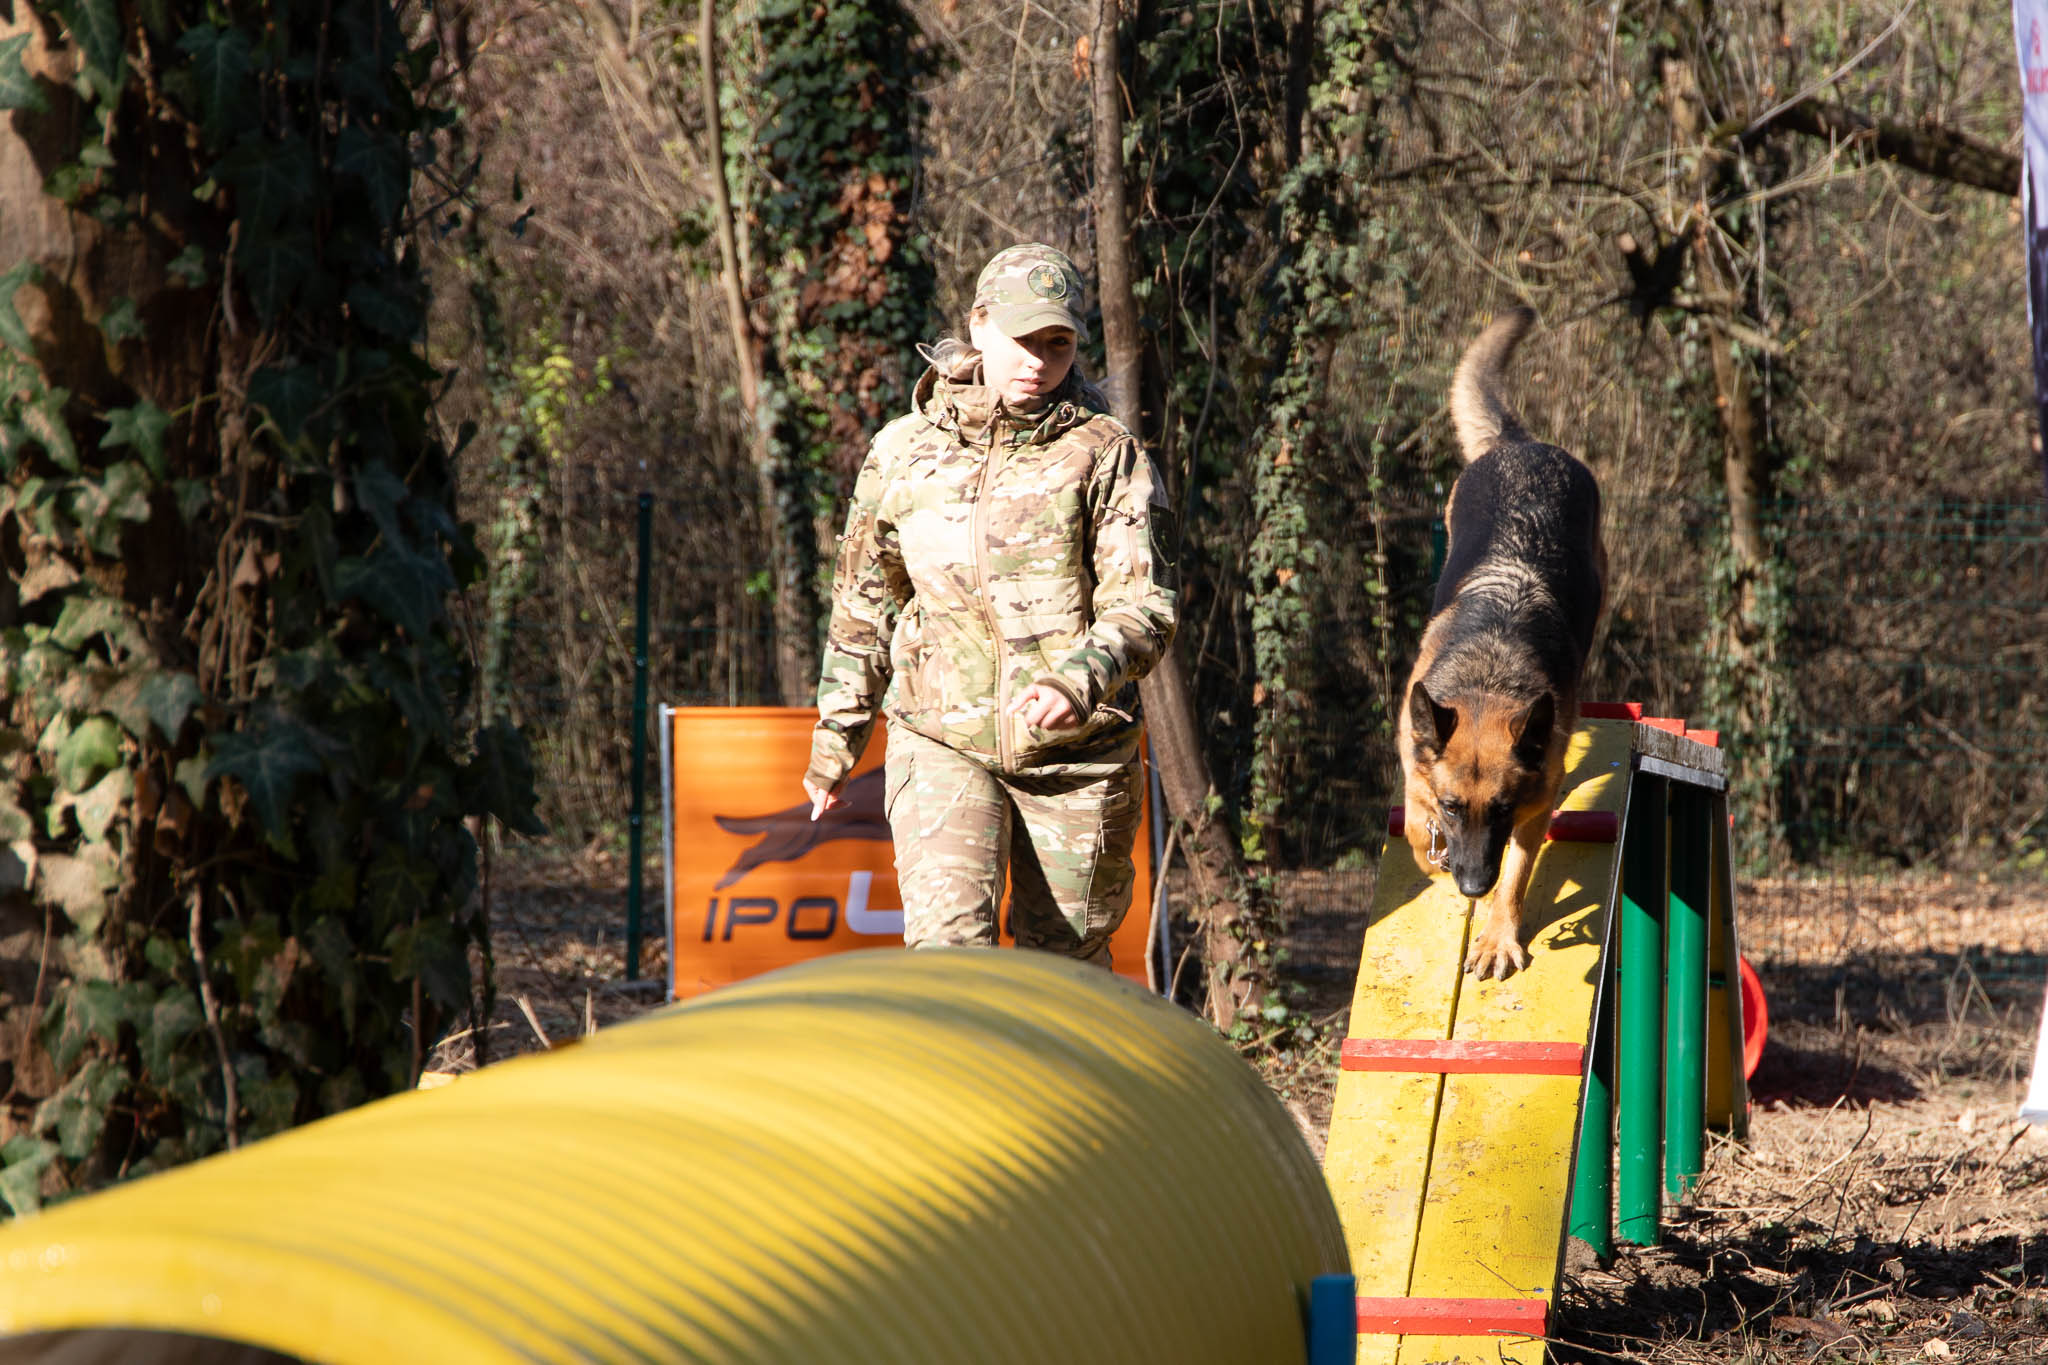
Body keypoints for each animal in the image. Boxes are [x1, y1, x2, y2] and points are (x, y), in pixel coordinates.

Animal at [1400, 311, 1605, 982]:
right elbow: (1416, 828)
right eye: (1454, 806)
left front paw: (1497, 937)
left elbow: (1516, 872)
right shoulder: (1416, 767)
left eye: (1502, 809)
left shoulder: (1534, 806)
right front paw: (1432, 854)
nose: (1470, 887)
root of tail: (1520, 444)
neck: (1489, 676)